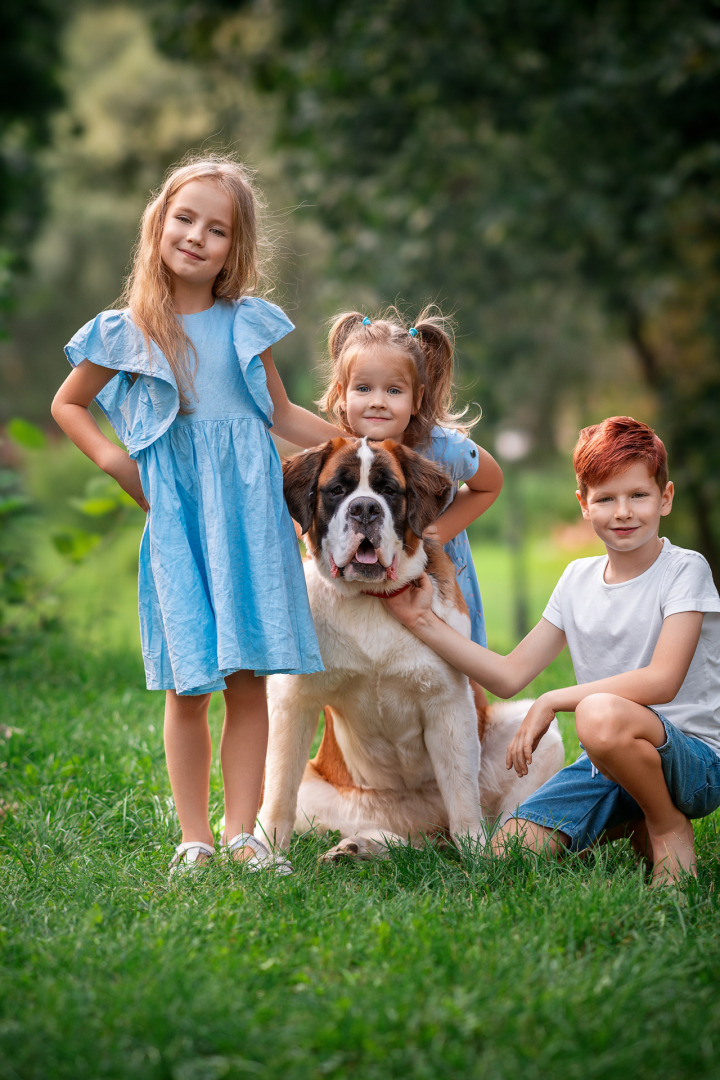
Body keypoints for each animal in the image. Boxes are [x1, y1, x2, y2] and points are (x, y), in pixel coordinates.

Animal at [255, 438, 565, 859]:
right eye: (337, 490)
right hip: (320, 785)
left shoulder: (447, 701)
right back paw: (358, 848)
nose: (364, 508)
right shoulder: (293, 701)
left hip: (535, 737)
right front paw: (265, 857)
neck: (371, 599)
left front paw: (476, 857)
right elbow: (278, 792)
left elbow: (461, 792)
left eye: (389, 490)